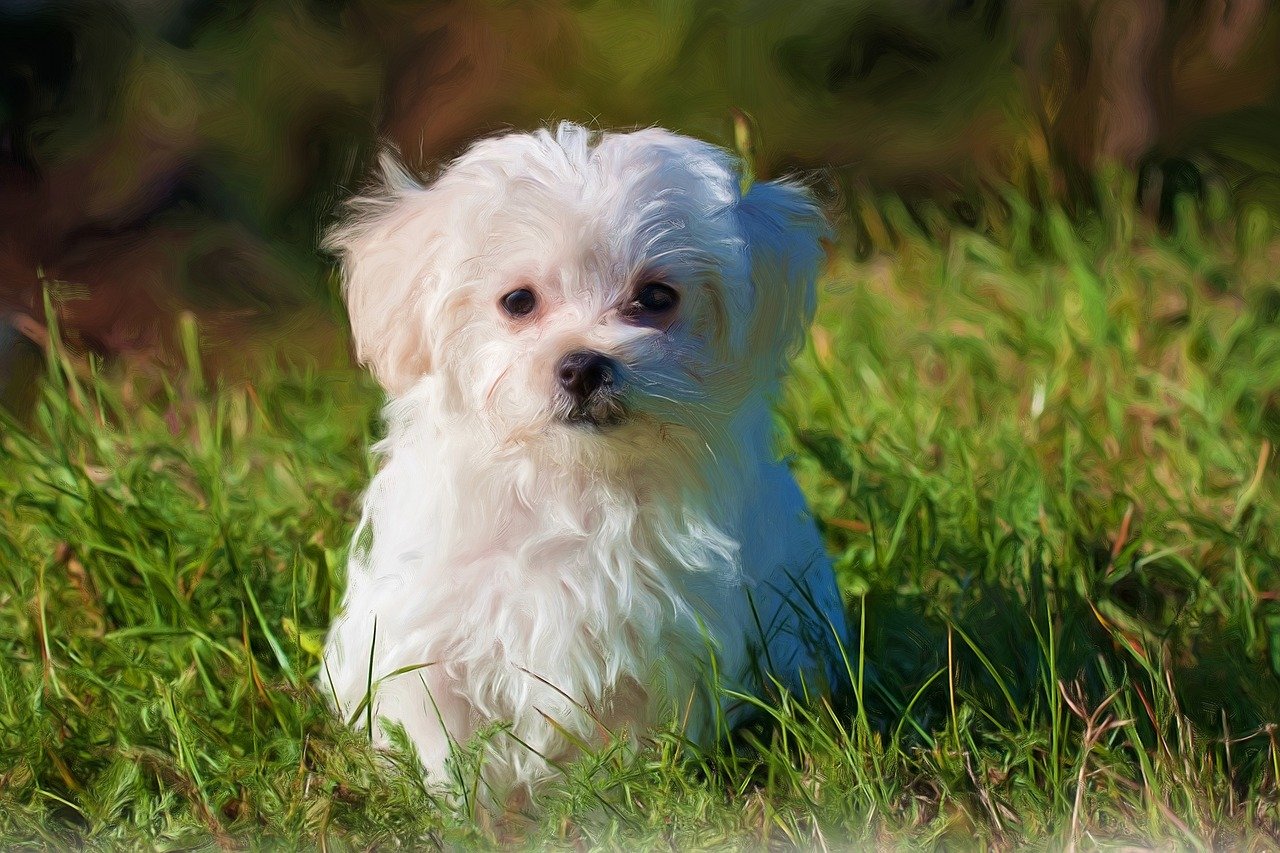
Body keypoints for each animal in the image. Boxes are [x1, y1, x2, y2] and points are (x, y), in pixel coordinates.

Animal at [322, 122, 849, 799]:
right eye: (518, 301)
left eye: (656, 296)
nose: (582, 365)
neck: (571, 482)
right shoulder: (430, 631)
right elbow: (444, 739)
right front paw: (464, 807)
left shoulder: (662, 643)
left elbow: (635, 738)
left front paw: (620, 799)